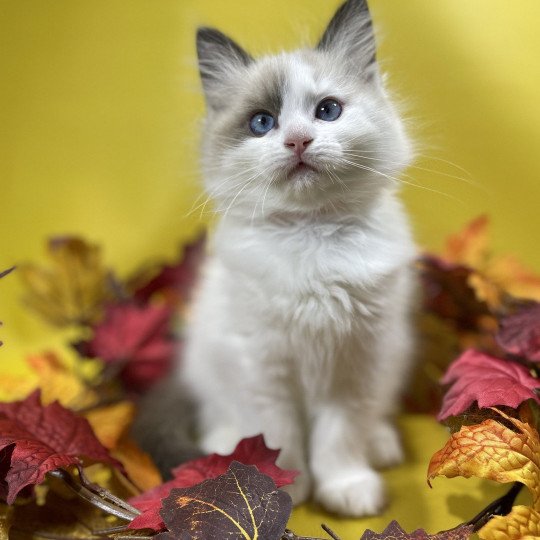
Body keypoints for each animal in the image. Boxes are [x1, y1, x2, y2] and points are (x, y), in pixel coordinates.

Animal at [177, 0, 418, 516]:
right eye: (262, 123)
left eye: (327, 111)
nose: (298, 141)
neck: (312, 236)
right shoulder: (262, 365)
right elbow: (277, 437)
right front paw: (275, 488)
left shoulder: (355, 360)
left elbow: (340, 435)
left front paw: (346, 486)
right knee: (222, 416)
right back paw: (222, 448)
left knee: (374, 415)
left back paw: (380, 444)